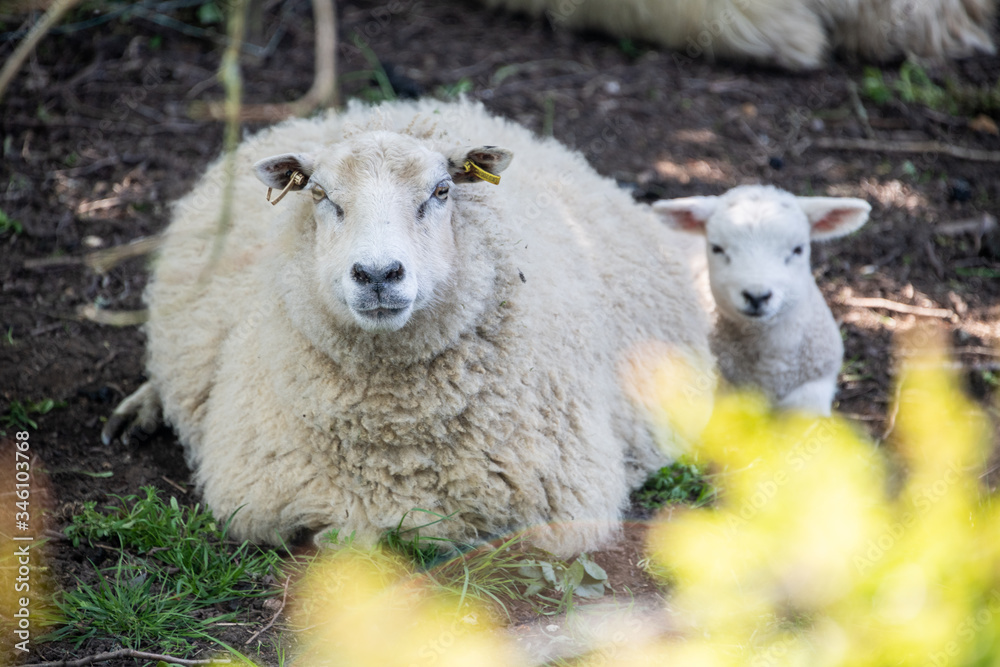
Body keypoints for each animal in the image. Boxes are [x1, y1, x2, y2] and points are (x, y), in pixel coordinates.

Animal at [102, 99, 712, 556]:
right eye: (320, 195)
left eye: (441, 191)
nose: (377, 274)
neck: (393, 434)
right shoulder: (256, 496)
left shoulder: (556, 508)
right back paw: (138, 410)